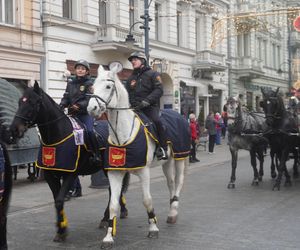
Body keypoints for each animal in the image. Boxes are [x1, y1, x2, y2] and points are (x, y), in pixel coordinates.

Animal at [9, 82, 129, 242]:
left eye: (34, 102)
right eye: (20, 102)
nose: (14, 130)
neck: (58, 137)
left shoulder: (70, 174)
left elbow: (60, 200)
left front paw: (62, 230)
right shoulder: (50, 175)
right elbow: (57, 200)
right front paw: (60, 228)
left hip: (108, 168)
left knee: (114, 190)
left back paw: (107, 218)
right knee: (114, 190)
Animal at [88, 64, 189, 248]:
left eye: (108, 86)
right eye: (93, 87)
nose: (91, 109)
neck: (122, 135)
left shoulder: (144, 171)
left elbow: (147, 200)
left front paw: (153, 228)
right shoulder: (115, 172)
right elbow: (113, 204)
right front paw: (108, 237)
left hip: (180, 157)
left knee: (178, 182)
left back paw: (173, 212)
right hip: (167, 162)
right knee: (170, 183)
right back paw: (171, 209)